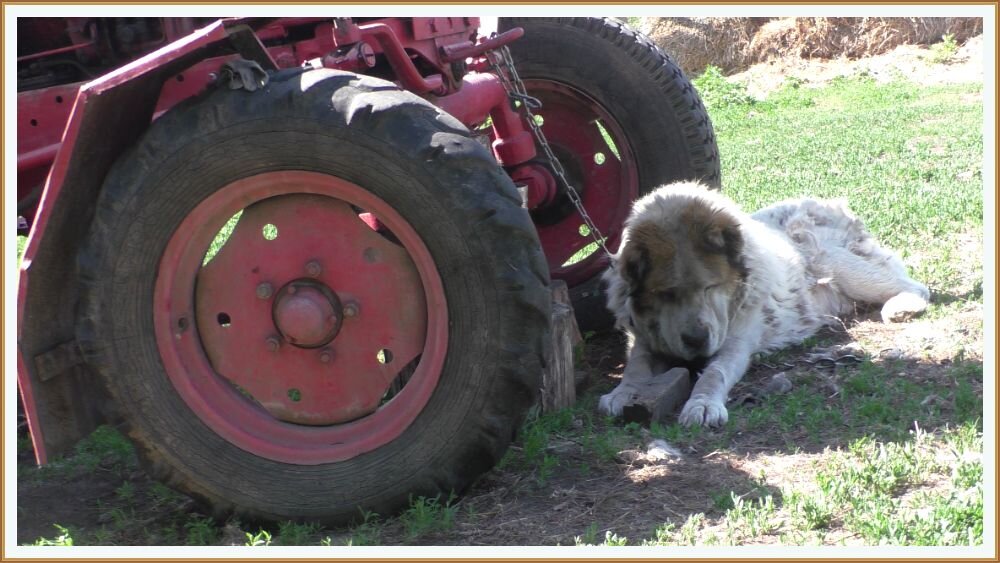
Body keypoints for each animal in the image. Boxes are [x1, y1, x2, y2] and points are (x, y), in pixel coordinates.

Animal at [592, 182, 928, 428]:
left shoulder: (736, 344)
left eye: (710, 287)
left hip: (835, 262)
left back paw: (901, 307)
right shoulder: (644, 339)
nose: (697, 339)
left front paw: (703, 405)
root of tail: (830, 204)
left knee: (916, 286)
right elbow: (635, 367)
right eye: (666, 294)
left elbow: (714, 374)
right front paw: (622, 393)